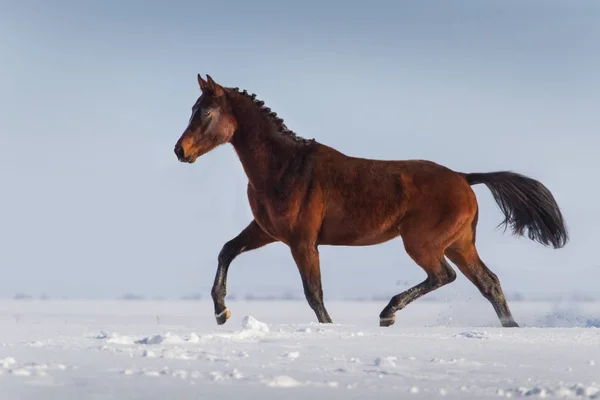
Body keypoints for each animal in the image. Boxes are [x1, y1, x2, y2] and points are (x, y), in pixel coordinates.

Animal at [172, 75, 568, 328]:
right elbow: (227, 250)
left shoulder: (302, 242)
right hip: (459, 244)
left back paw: (388, 312)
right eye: (192, 108)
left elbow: (313, 293)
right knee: (489, 283)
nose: (180, 151)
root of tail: (464, 178)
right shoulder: (266, 232)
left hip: (423, 243)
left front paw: (330, 327)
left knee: (444, 275)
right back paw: (510, 327)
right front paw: (221, 312)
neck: (283, 167)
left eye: (205, 112)